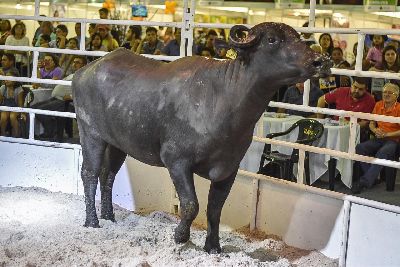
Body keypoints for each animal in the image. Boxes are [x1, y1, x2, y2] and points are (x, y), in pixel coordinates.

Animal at [72, 22, 332, 253]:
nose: (322, 61)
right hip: (90, 133)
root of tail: (85, 70)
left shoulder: (229, 169)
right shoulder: (176, 161)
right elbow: (190, 205)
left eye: (298, 37)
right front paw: (180, 236)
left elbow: (215, 209)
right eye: (272, 40)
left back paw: (109, 217)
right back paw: (92, 221)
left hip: (117, 143)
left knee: (108, 175)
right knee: (89, 173)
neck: (224, 101)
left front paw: (213, 246)